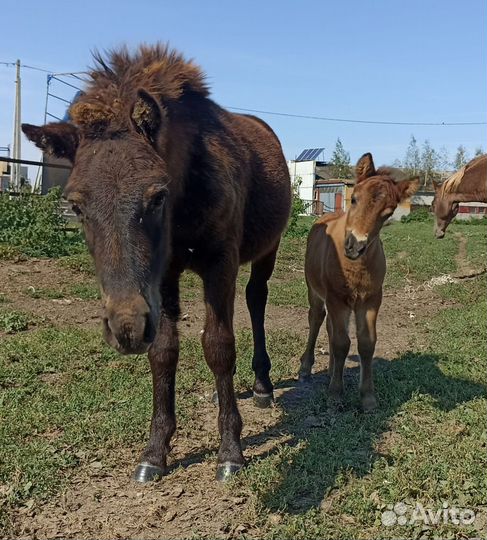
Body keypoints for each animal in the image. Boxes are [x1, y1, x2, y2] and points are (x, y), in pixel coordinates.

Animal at [21, 44, 290, 484]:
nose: (126, 329)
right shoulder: (163, 277)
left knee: (256, 300)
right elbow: (164, 351)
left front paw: (230, 451)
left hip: (268, 248)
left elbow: (219, 345)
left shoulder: (221, 262)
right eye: (76, 206)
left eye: (157, 196)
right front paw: (155, 451)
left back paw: (262, 384)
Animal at [302, 154, 420, 412]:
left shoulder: (371, 299)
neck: (355, 267)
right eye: (354, 199)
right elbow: (341, 343)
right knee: (316, 320)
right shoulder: (337, 299)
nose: (355, 245)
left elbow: (366, 344)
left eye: (388, 212)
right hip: (315, 291)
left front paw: (367, 397)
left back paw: (330, 372)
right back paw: (305, 369)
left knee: (331, 327)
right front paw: (335, 395)